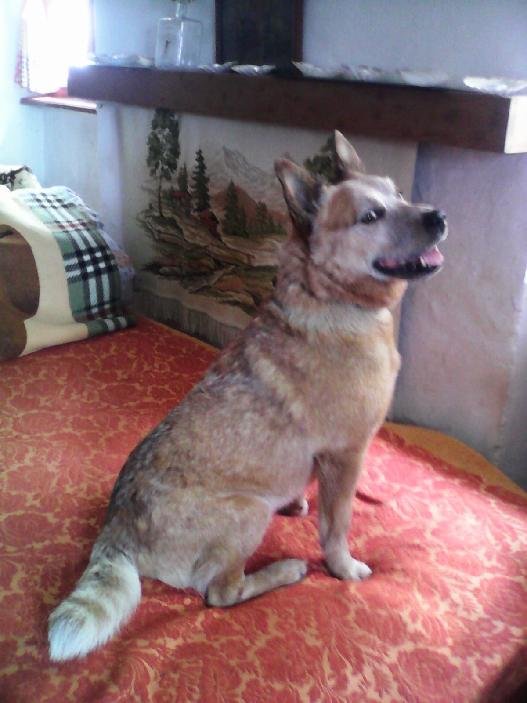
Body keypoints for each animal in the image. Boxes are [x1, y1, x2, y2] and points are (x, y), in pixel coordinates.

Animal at [48, 132, 447, 661]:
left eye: (400, 194)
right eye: (371, 216)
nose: (439, 217)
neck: (331, 296)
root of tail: (115, 531)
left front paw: (297, 503)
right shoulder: (346, 455)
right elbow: (337, 527)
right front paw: (344, 568)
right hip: (247, 514)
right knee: (221, 593)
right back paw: (284, 572)